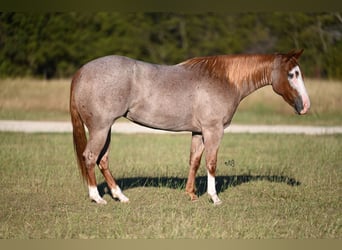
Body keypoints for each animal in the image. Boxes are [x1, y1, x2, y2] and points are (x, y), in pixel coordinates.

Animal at [69, 49, 310, 205]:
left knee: (103, 160)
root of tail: (82, 71)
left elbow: (194, 161)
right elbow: (211, 163)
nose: (306, 106)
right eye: (292, 74)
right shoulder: (213, 130)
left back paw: (120, 196)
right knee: (90, 157)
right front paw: (214, 197)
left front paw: (191, 194)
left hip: (106, 129)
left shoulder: (198, 132)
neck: (225, 80)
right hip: (100, 128)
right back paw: (97, 198)